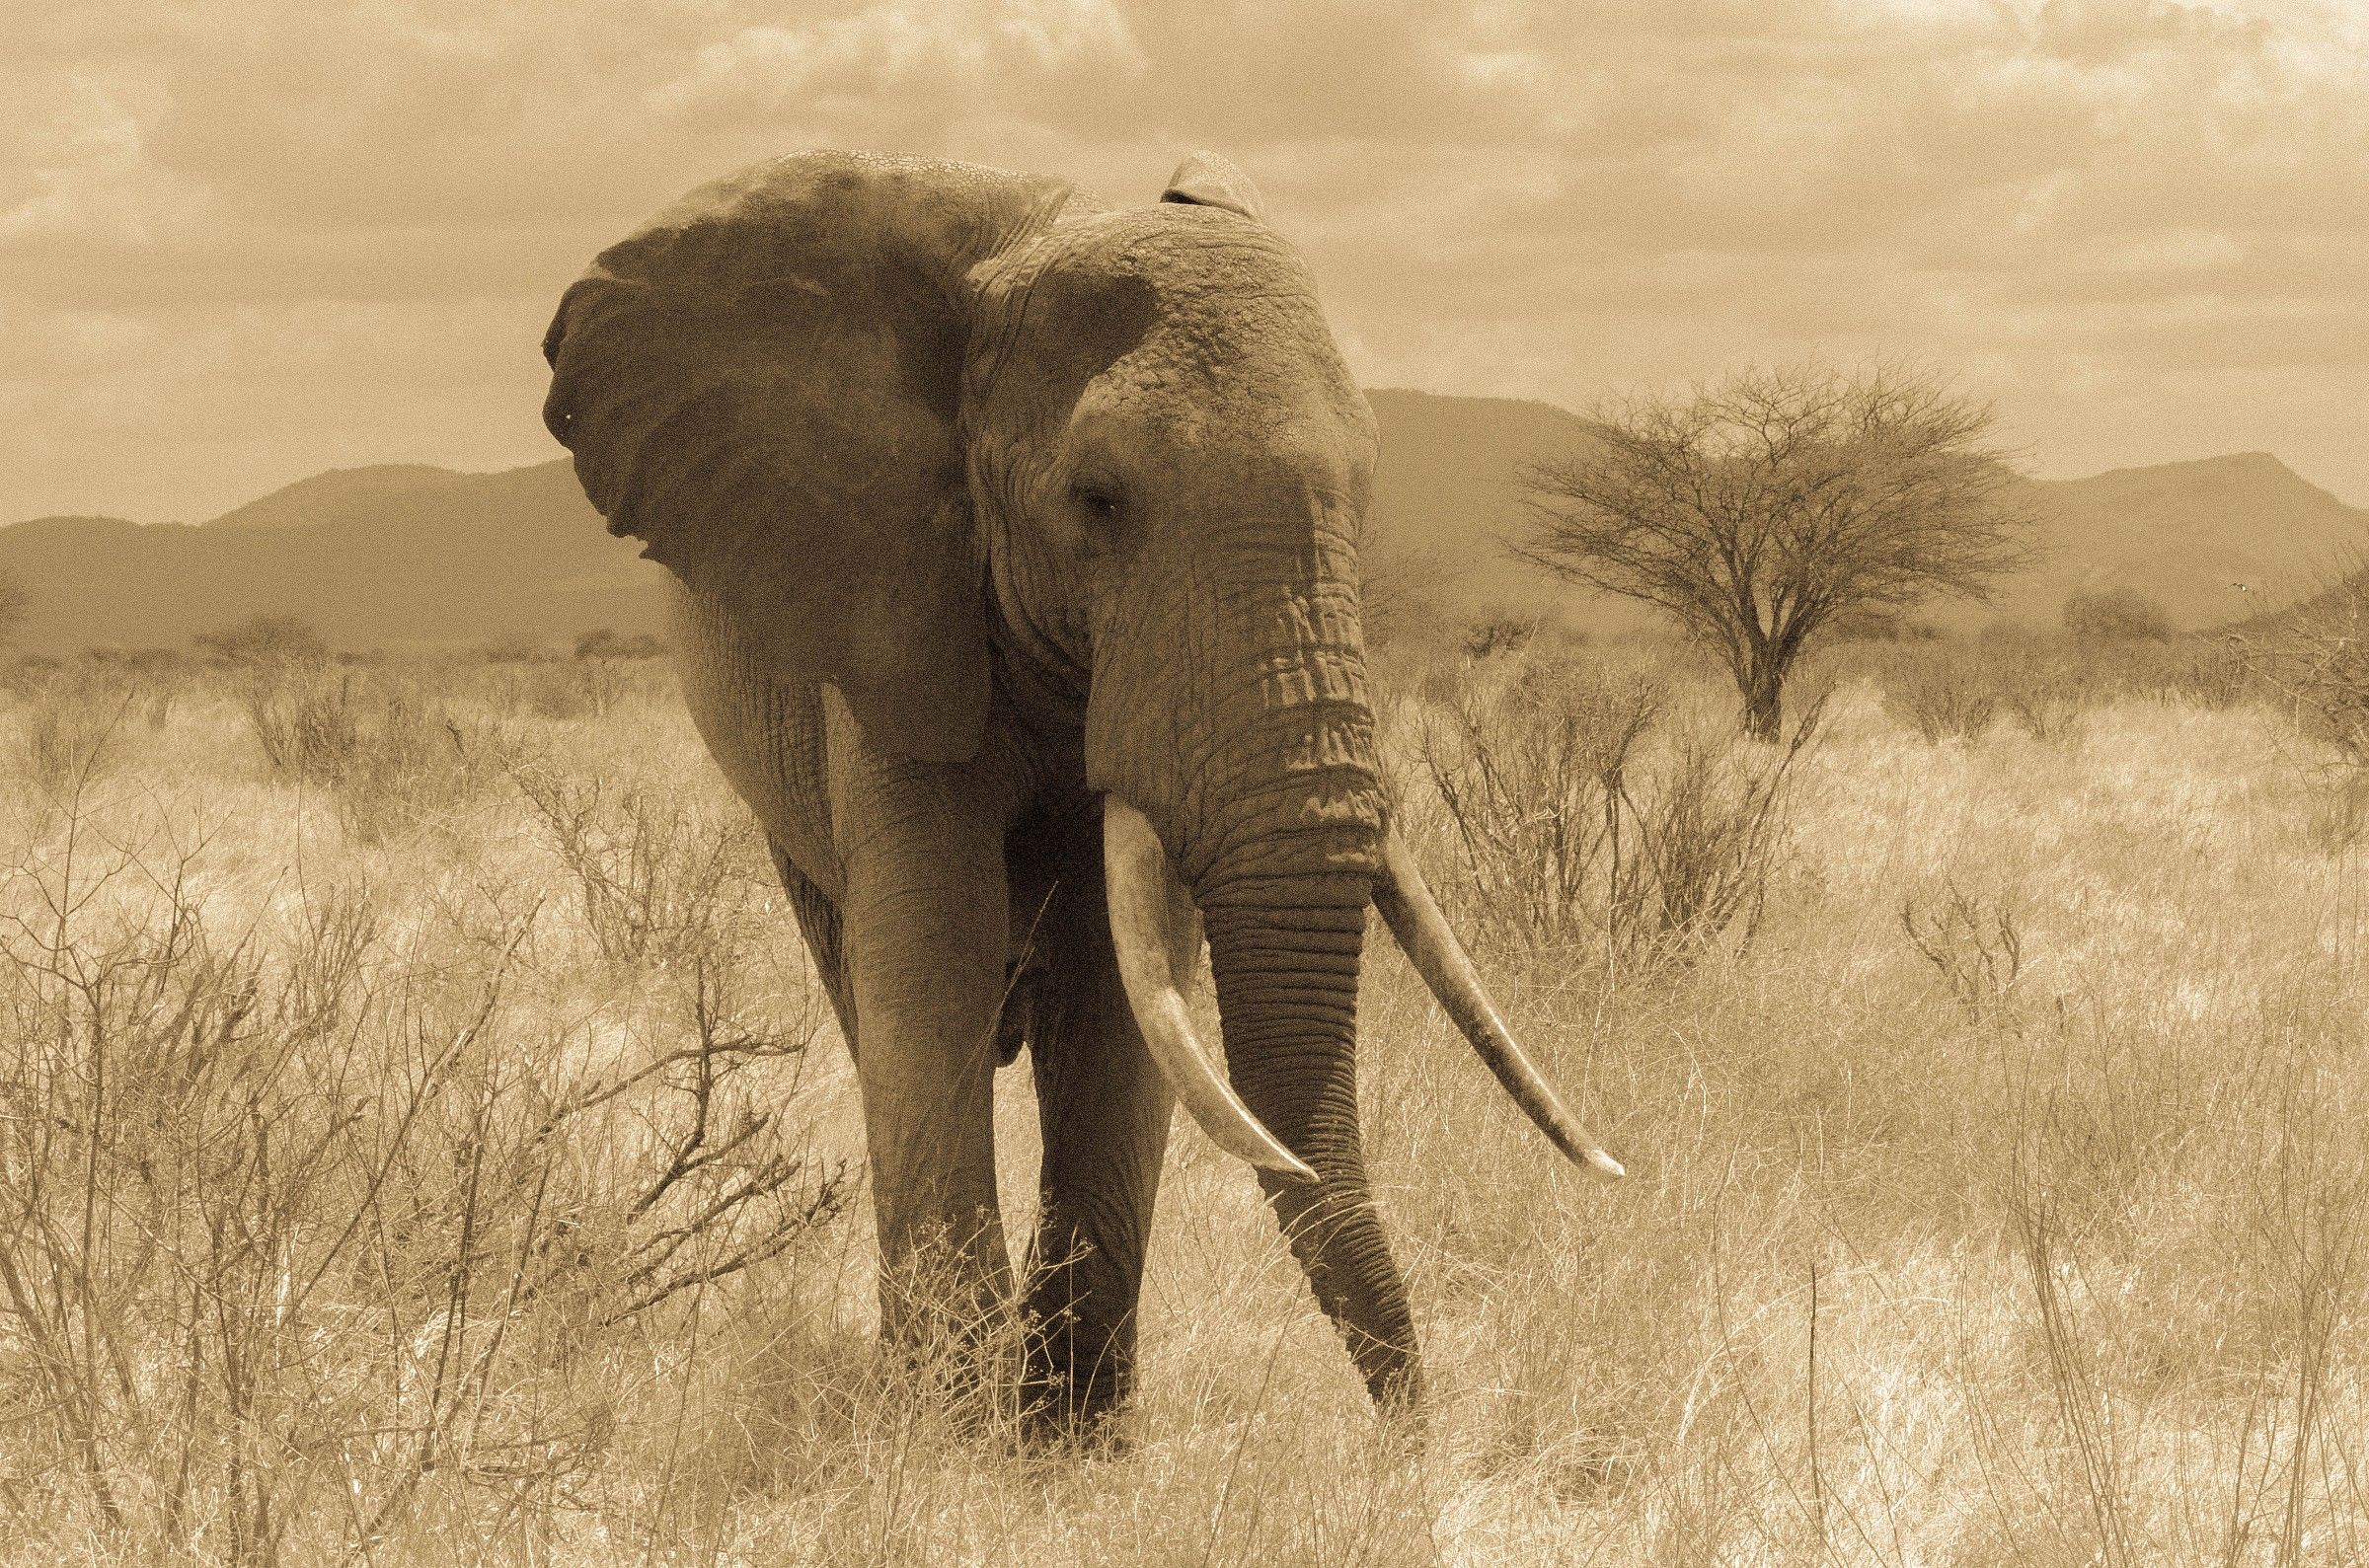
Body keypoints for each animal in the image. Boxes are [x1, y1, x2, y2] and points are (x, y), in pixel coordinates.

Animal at [540, 148, 1623, 1436]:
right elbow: (936, 965)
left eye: (1362, 498)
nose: (1415, 1440)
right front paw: (954, 1441)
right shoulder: (895, 614)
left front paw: (1068, 1445)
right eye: (1100, 501)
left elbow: (1122, 998)